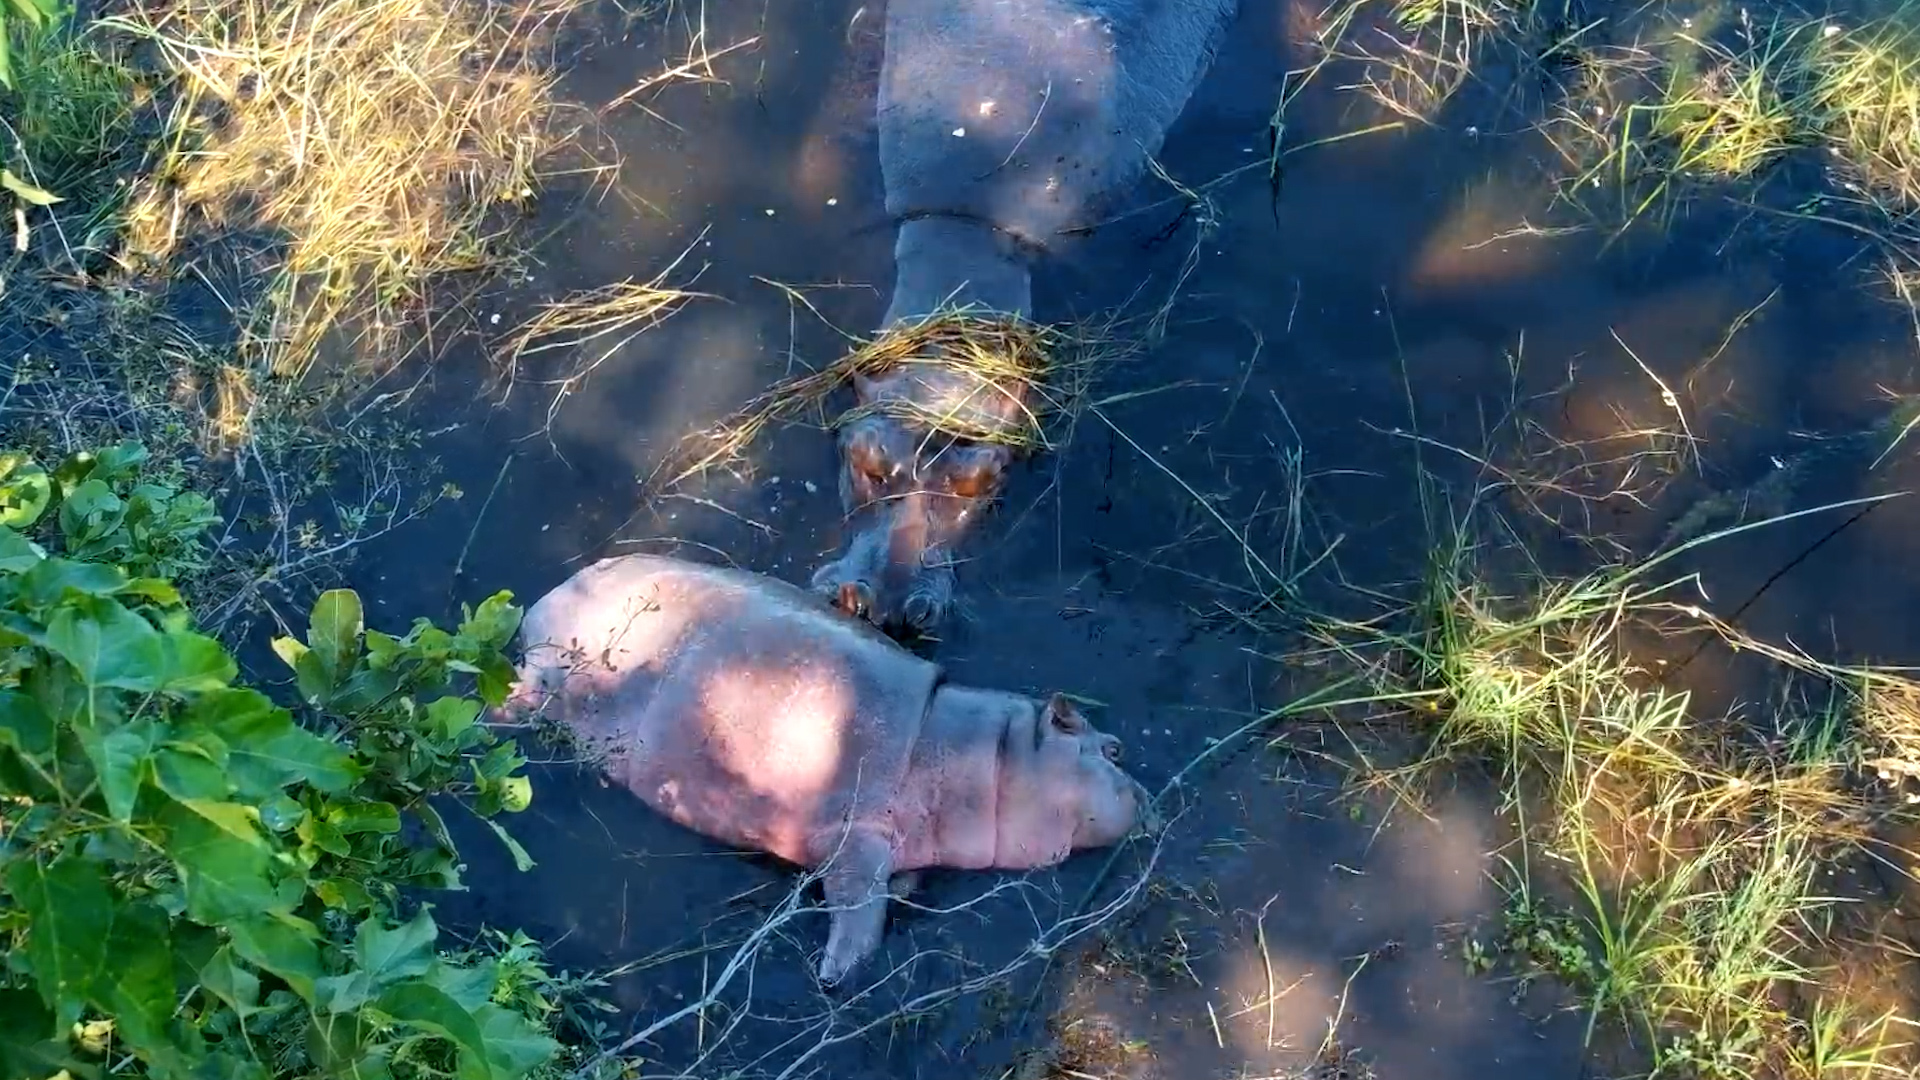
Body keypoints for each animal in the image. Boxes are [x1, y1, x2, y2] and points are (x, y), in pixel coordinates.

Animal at [504, 552, 1158, 986]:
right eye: (1114, 750)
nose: (1151, 799)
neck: (989, 752)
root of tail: (549, 598)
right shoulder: (855, 837)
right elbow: (859, 907)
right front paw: (836, 974)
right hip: (547, 685)